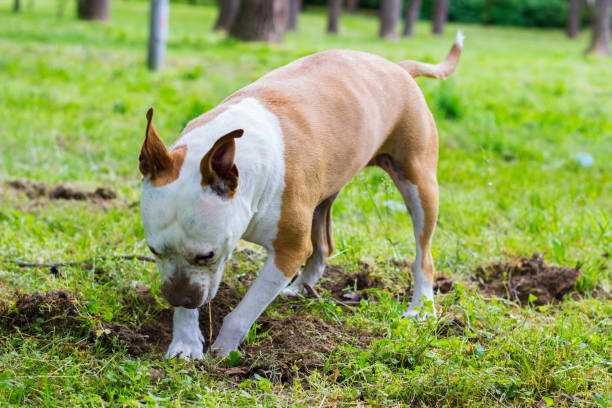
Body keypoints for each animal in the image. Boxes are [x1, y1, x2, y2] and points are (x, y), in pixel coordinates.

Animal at [139, 31, 464, 356]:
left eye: (207, 255)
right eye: (154, 250)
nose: (179, 299)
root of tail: (398, 68)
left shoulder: (288, 252)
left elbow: (244, 310)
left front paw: (224, 348)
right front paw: (184, 342)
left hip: (420, 184)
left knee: (423, 253)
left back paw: (421, 307)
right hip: (324, 194)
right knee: (322, 245)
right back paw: (300, 288)